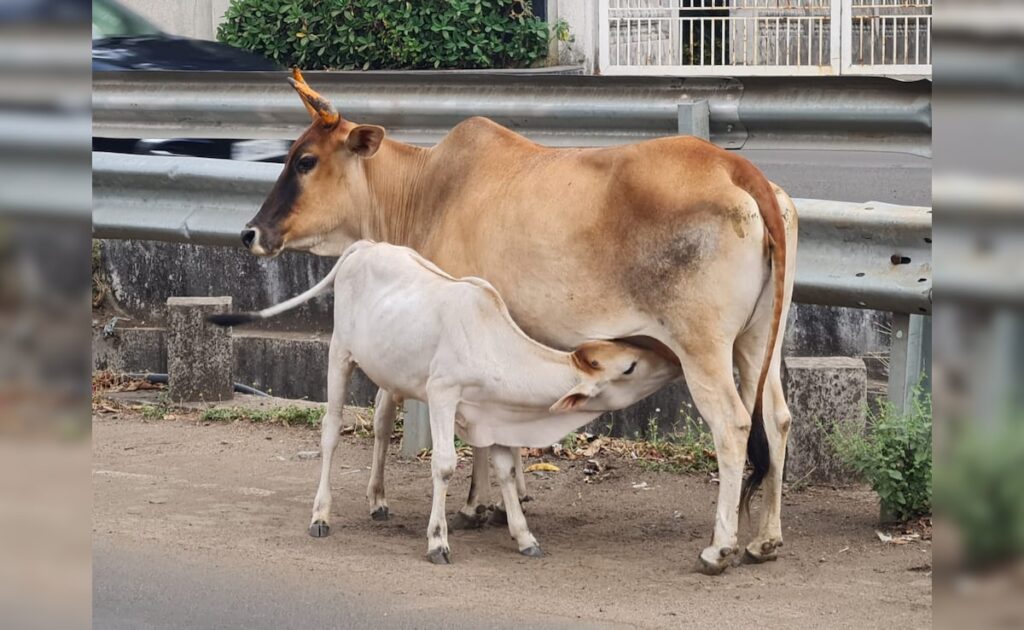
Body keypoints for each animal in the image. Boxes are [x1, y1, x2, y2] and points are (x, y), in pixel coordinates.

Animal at [210, 241, 675, 561]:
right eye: (630, 366)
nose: (673, 361)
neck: (492, 341)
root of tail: (364, 246)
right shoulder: (442, 395)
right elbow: (446, 465)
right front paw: (438, 540)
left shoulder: (493, 413)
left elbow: (506, 470)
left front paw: (524, 537)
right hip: (339, 354)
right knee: (331, 430)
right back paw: (321, 515)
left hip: (389, 373)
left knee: (381, 423)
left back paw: (378, 500)